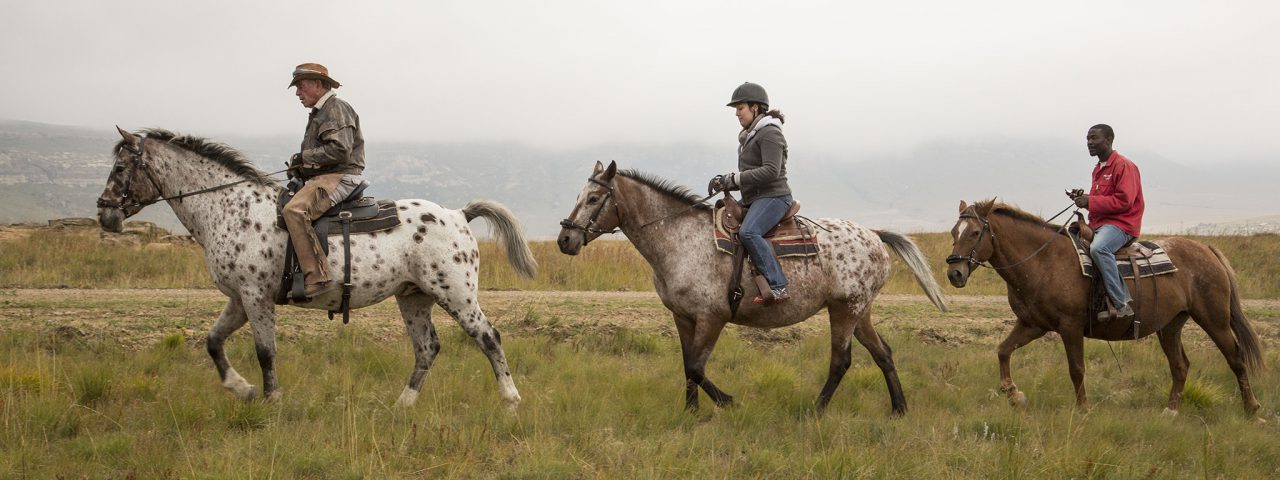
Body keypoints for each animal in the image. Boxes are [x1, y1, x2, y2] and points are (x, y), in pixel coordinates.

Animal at [95, 127, 537, 410]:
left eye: (120, 169)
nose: (104, 213)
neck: (229, 207)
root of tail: (459, 214)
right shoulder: (239, 299)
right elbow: (213, 342)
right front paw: (243, 390)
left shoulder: (255, 297)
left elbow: (265, 351)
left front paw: (270, 401)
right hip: (414, 299)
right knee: (427, 348)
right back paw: (402, 405)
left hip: (456, 295)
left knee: (489, 338)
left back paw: (511, 400)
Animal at [556, 161, 948, 414]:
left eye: (593, 199)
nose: (564, 239)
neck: (679, 239)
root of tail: (875, 235)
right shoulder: (683, 317)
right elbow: (687, 365)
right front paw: (690, 413)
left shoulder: (712, 317)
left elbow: (696, 366)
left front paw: (727, 402)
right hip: (859, 311)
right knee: (883, 353)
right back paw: (899, 408)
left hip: (845, 309)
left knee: (841, 360)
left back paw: (815, 409)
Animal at [944, 199, 1263, 415]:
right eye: (953, 231)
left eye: (974, 233)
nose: (954, 273)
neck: (1043, 260)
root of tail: (1206, 249)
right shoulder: (1032, 324)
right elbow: (1003, 350)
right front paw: (1013, 393)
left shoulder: (1070, 327)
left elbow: (1076, 369)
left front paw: (1083, 409)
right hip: (1171, 325)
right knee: (1180, 365)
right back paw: (1171, 410)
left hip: (1214, 320)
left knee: (1235, 358)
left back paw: (1252, 409)